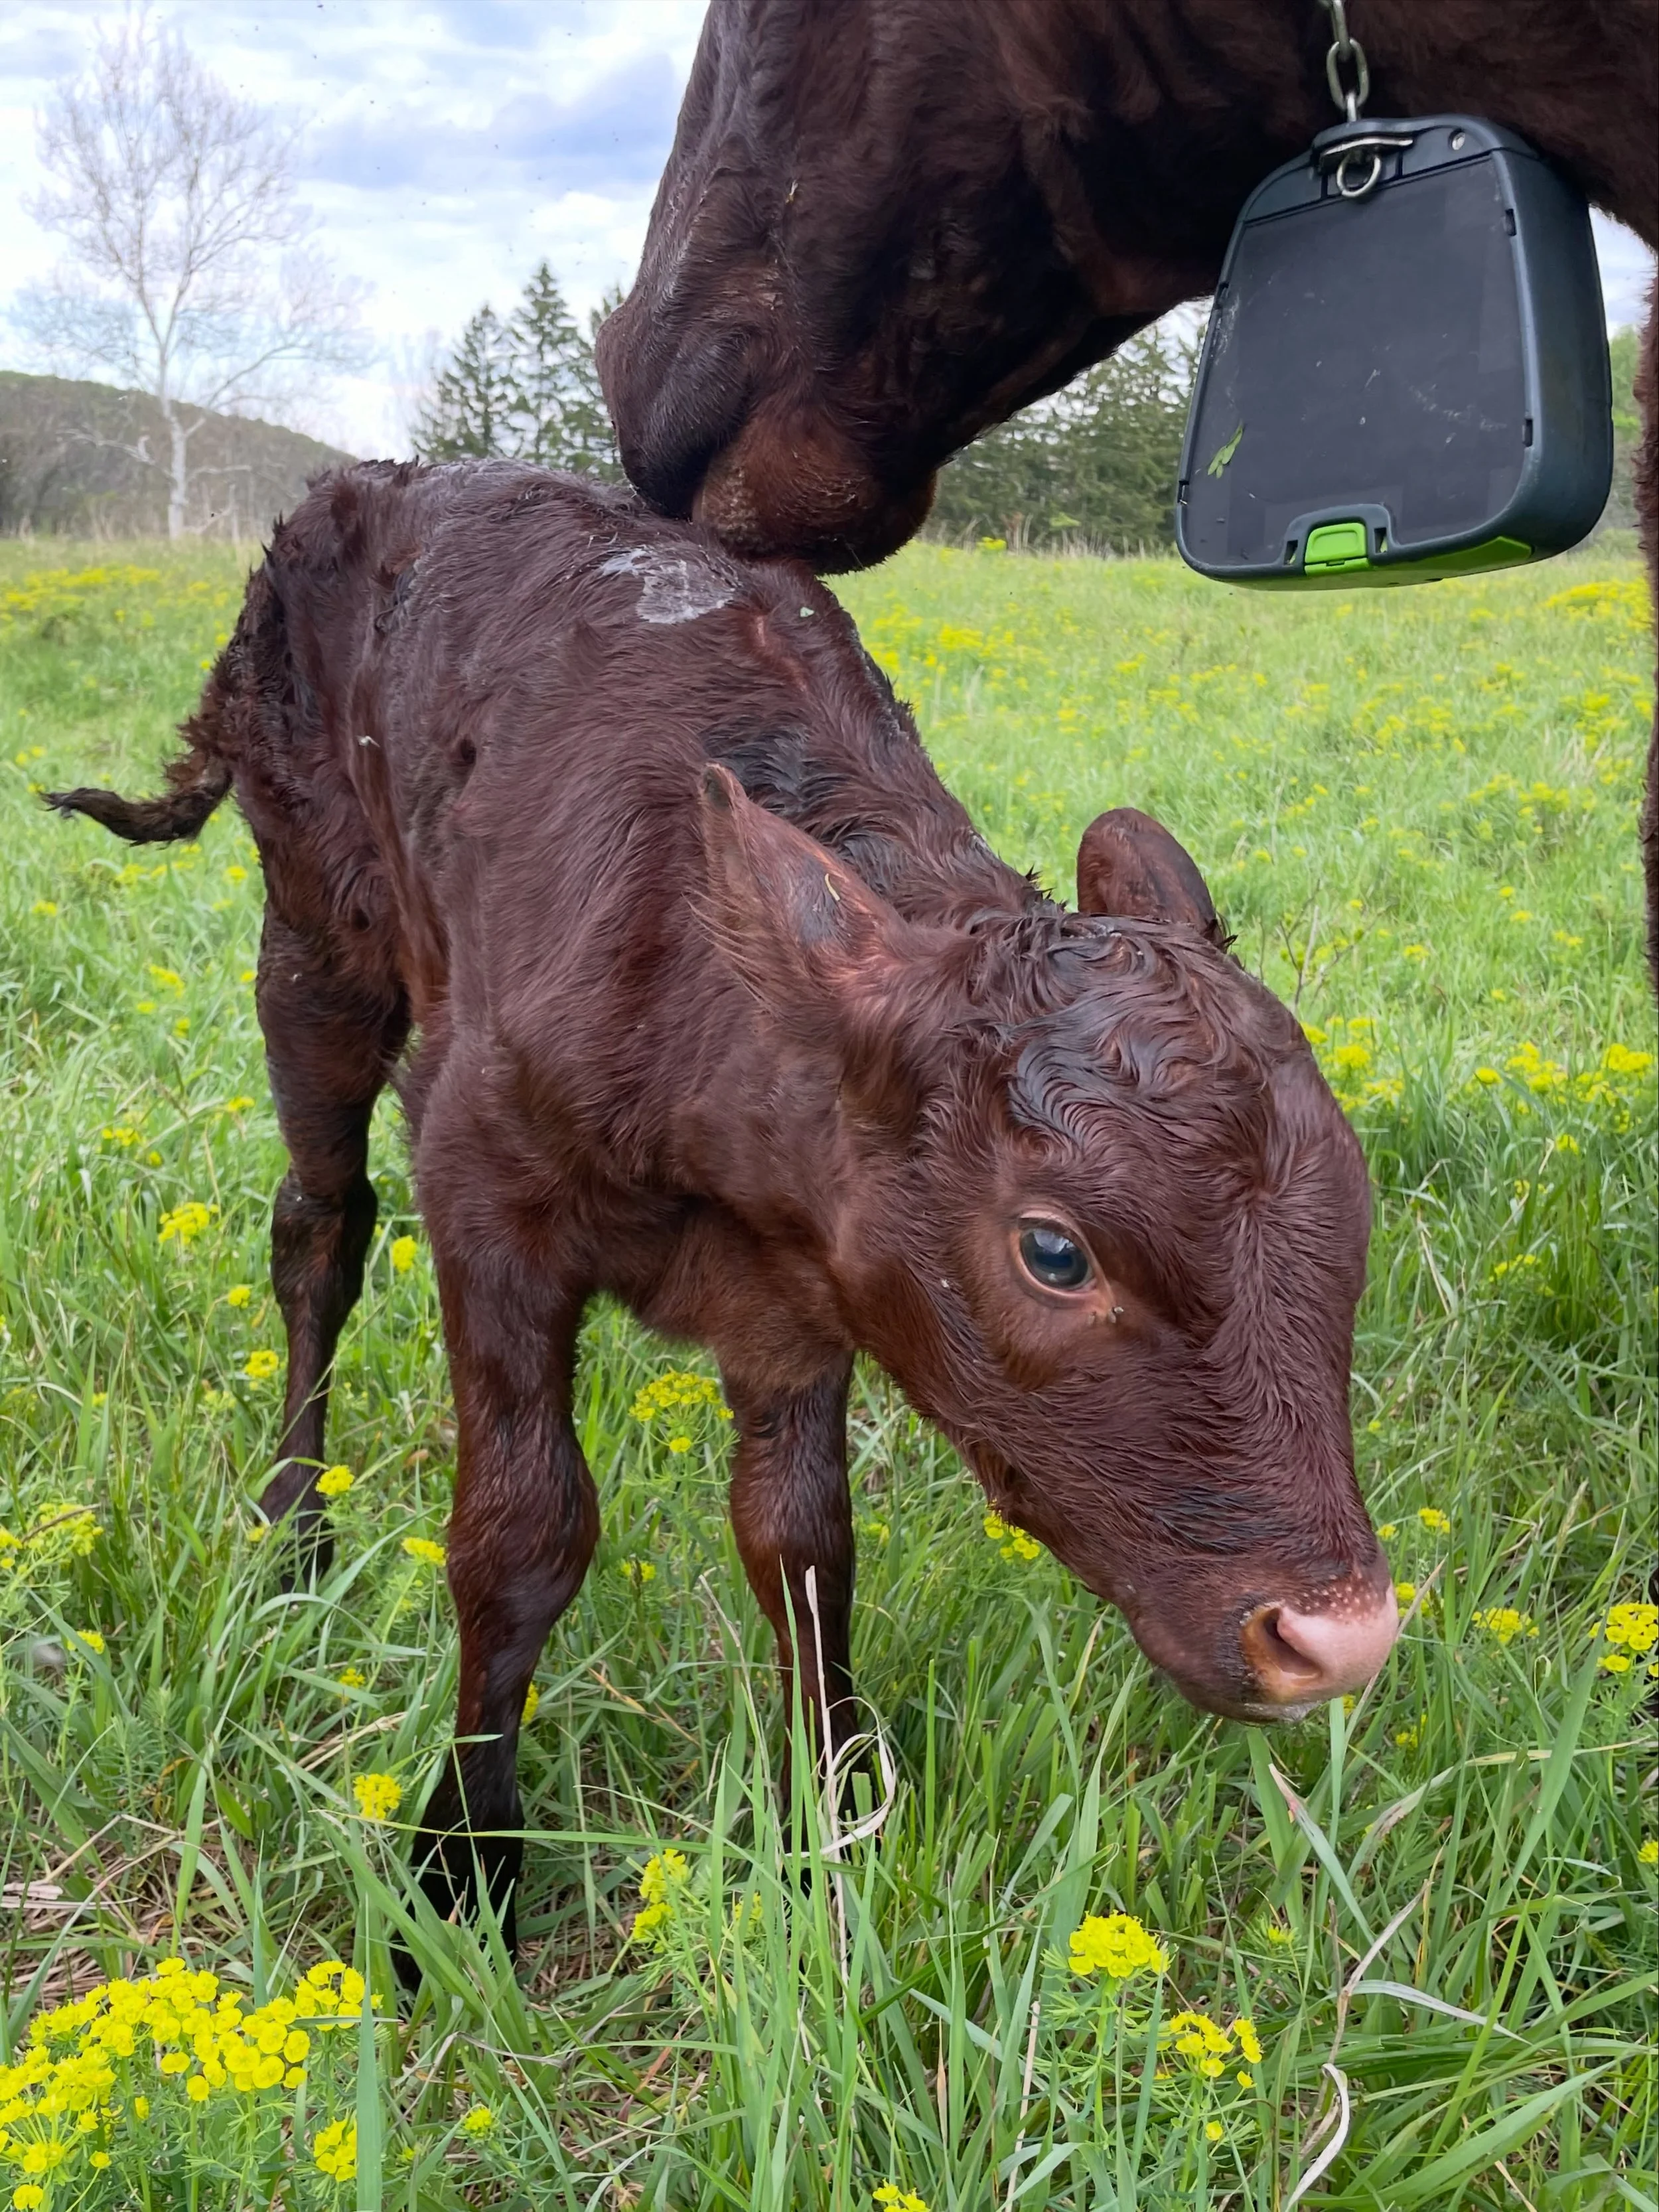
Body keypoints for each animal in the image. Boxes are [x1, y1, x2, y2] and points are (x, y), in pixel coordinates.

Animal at [49, 461, 1397, 1946]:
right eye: (1055, 1250)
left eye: (1355, 1217)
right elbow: (520, 1531)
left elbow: (800, 1545)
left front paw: (838, 1818)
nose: (1340, 1636)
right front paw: (463, 1853)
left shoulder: (801, 1283)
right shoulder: (481, 1187)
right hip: (314, 938)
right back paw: (295, 1532)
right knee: (319, 1228)